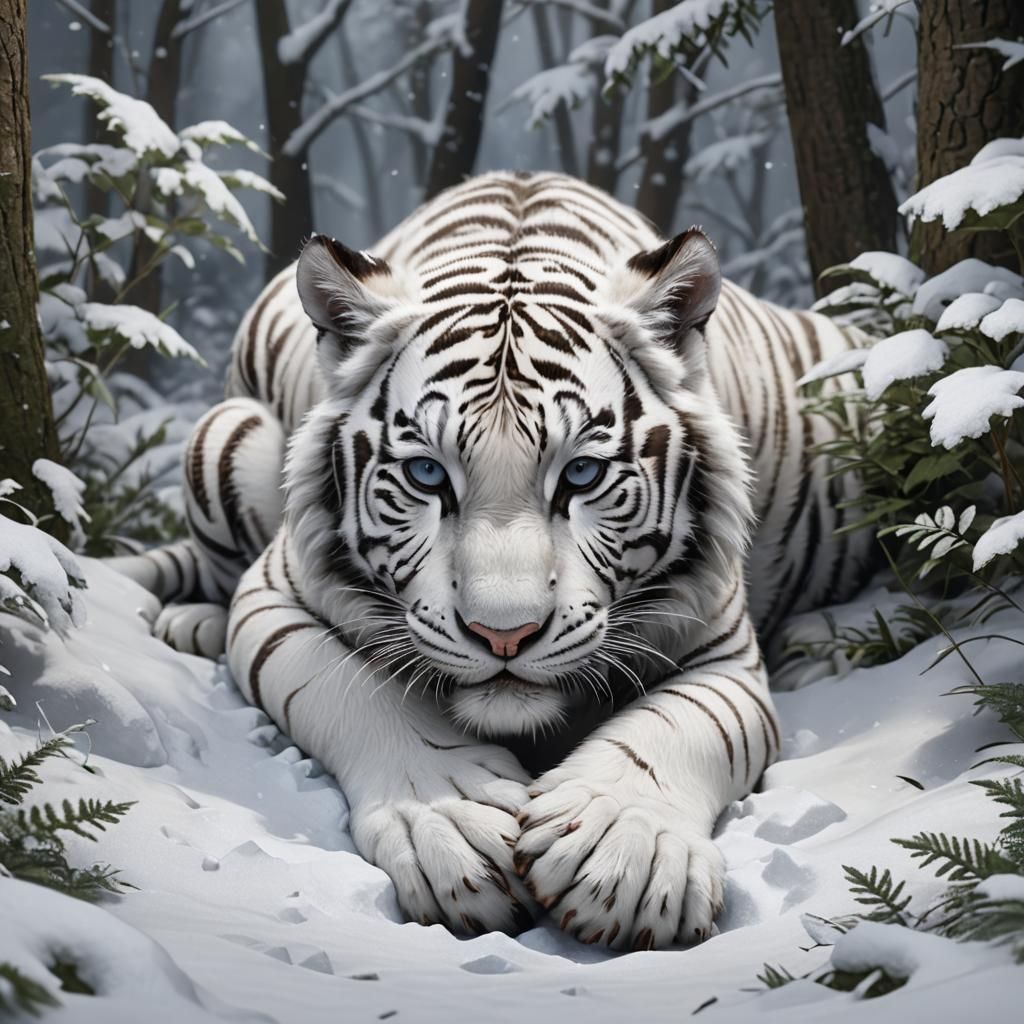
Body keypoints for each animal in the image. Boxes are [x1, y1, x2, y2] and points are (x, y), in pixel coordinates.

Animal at [112, 171, 870, 950]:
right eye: (426, 474)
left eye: (581, 475)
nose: (504, 635)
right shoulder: (275, 594)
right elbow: (350, 692)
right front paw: (454, 817)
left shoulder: (724, 650)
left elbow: (683, 727)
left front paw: (622, 850)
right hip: (229, 429)